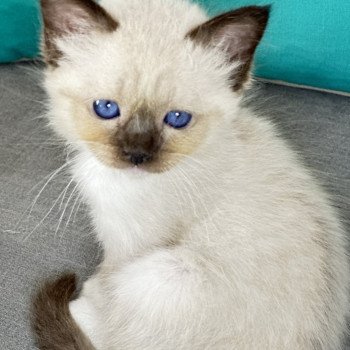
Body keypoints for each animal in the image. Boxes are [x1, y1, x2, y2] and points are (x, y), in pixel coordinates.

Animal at [31, 0, 348, 350]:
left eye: (178, 118)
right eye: (106, 108)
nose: (137, 155)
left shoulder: (127, 245)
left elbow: (106, 282)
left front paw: (89, 296)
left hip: (162, 273)